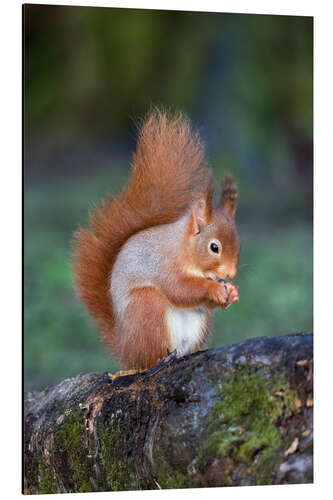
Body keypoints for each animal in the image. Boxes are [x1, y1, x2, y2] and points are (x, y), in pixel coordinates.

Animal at [72, 109, 239, 372]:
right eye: (214, 247)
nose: (231, 274)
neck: (183, 247)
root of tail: (125, 350)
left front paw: (232, 291)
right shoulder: (164, 264)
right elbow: (180, 289)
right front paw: (214, 288)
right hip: (147, 308)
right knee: (148, 358)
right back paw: (158, 359)